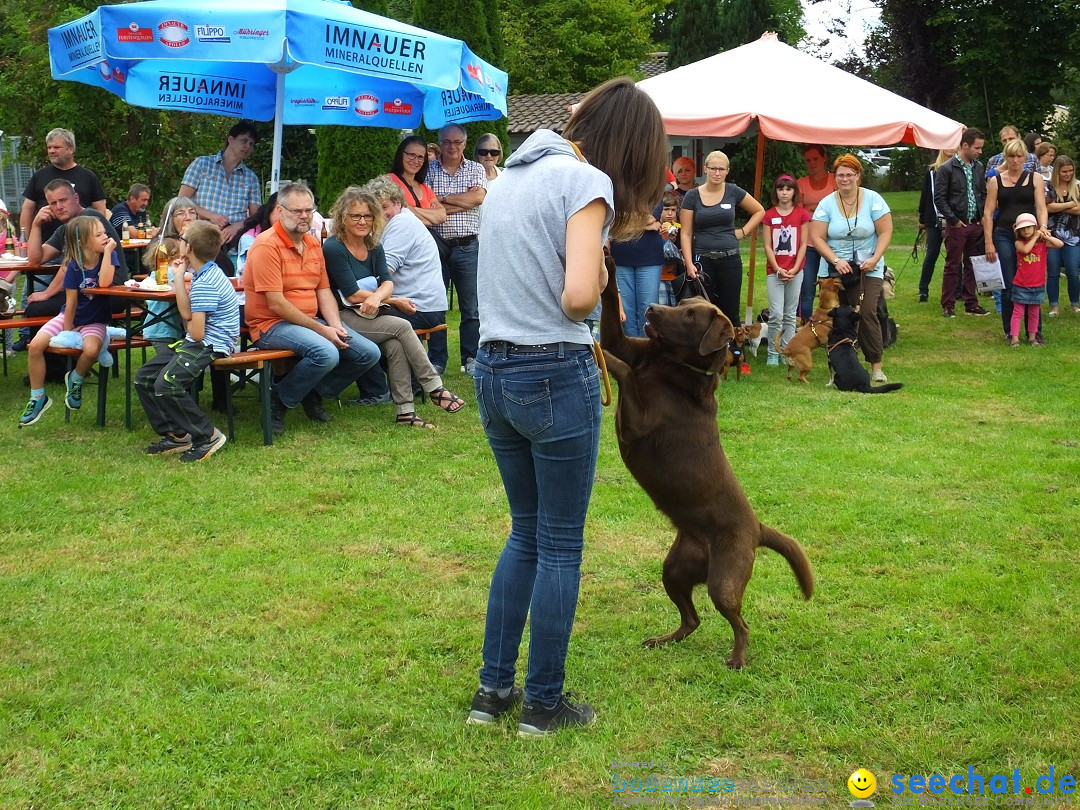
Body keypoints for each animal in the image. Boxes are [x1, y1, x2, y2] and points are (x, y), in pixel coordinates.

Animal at [600, 263, 812, 669]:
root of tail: (757, 528)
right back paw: (665, 639)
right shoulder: (628, 346)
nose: (651, 308)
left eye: (689, 316)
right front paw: (606, 263)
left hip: (724, 580)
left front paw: (596, 353)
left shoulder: (635, 425)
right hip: (674, 569)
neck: (671, 365)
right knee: (692, 619)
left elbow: (625, 373)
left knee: (739, 621)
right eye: (681, 304)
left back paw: (737, 659)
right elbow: (611, 328)